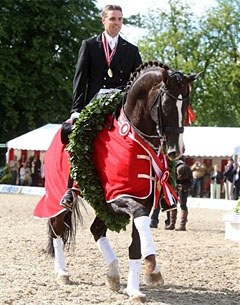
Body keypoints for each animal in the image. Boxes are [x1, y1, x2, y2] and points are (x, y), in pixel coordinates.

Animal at [35, 61, 201, 302]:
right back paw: (62, 272)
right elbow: (139, 224)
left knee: (96, 229)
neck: (134, 136)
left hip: (100, 203)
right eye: (166, 104)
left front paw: (136, 287)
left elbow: (137, 243)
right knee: (56, 227)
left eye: (186, 105)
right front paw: (152, 268)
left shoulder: (143, 200)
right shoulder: (118, 197)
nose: (176, 150)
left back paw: (113, 273)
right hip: (59, 196)